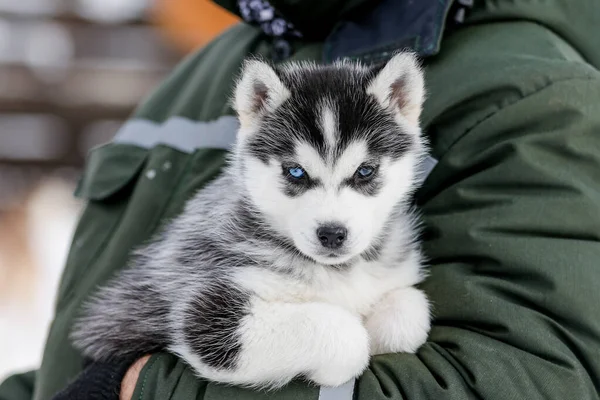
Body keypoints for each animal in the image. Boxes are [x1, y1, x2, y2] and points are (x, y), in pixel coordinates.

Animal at [72, 52, 432, 388]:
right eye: (296, 172)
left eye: (365, 171)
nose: (332, 234)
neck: (336, 271)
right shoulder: (206, 311)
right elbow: (343, 335)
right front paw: (339, 363)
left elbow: (409, 313)